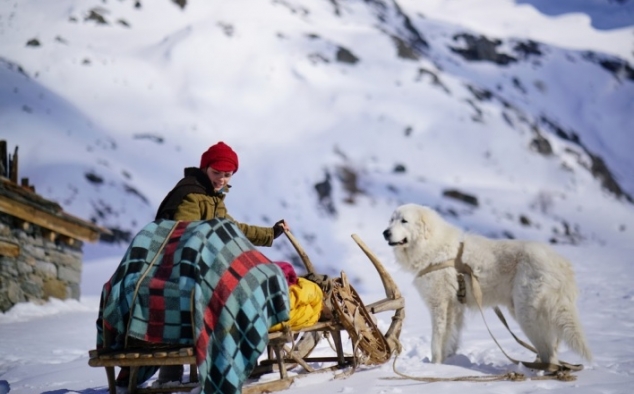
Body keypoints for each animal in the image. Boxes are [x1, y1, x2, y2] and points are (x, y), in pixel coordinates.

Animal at [380, 203, 592, 366]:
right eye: (391, 220)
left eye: (404, 221)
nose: (385, 232)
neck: (432, 247)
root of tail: (561, 264)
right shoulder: (455, 308)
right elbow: (451, 338)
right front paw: (449, 362)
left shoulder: (439, 305)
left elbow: (436, 340)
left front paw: (435, 365)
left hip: (527, 315)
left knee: (550, 353)